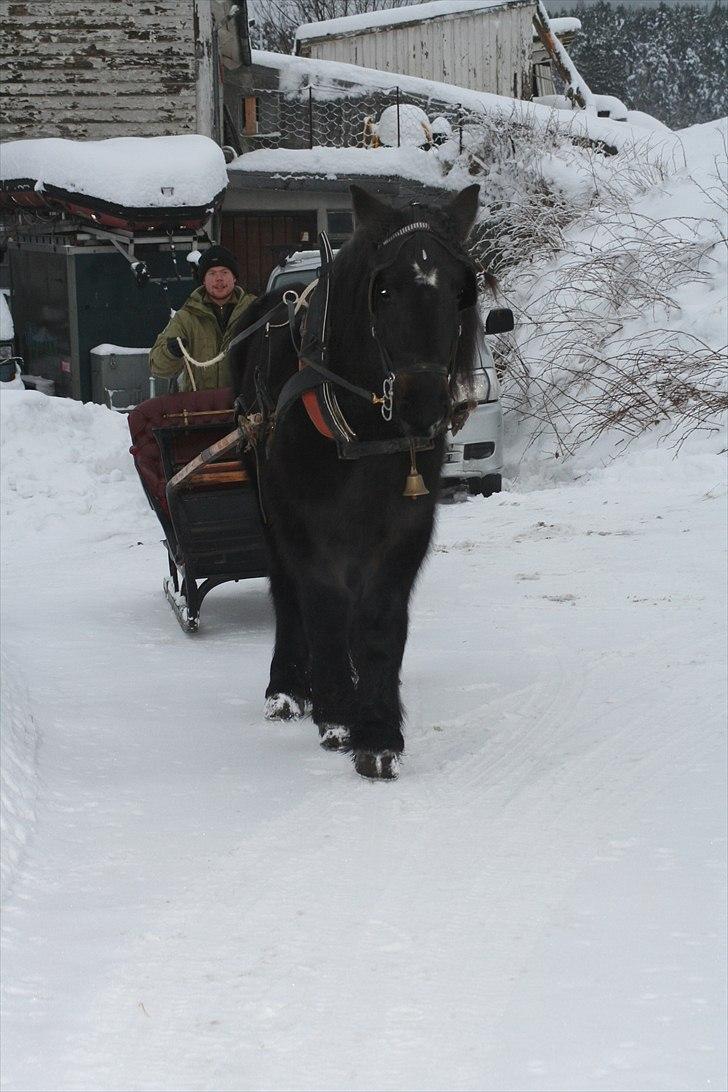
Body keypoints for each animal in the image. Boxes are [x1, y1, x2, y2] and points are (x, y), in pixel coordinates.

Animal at [230, 185, 486, 777]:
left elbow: (377, 621)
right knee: (287, 590)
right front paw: (338, 714)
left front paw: (378, 729)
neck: (362, 431)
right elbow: (322, 605)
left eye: (460, 291)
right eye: (383, 289)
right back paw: (289, 688)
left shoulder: (406, 526)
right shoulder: (303, 524)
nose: (424, 403)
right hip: (267, 503)